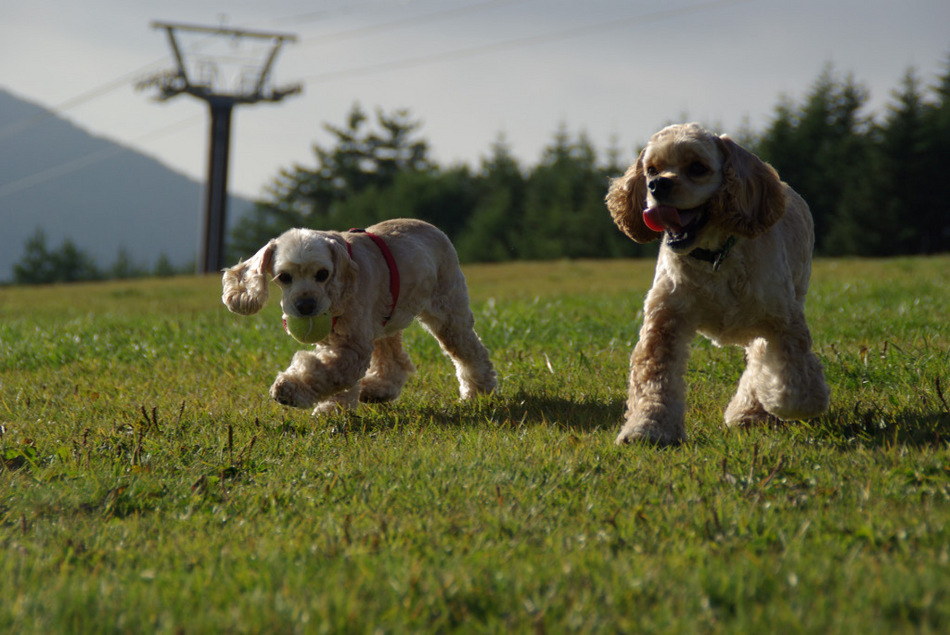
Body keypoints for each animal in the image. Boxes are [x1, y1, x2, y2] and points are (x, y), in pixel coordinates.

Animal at [223, 219, 498, 414]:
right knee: (394, 360)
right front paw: (333, 408)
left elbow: (325, 370)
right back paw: (376, 391)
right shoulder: (338, 339)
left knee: (471, 352)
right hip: (385, 321)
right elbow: (335, 376)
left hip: (448, 313)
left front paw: (289, 389)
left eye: (322, 274)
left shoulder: (352, 345)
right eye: (283, 277)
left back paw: (478, 392)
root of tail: (435, 229)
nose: (305, 305)